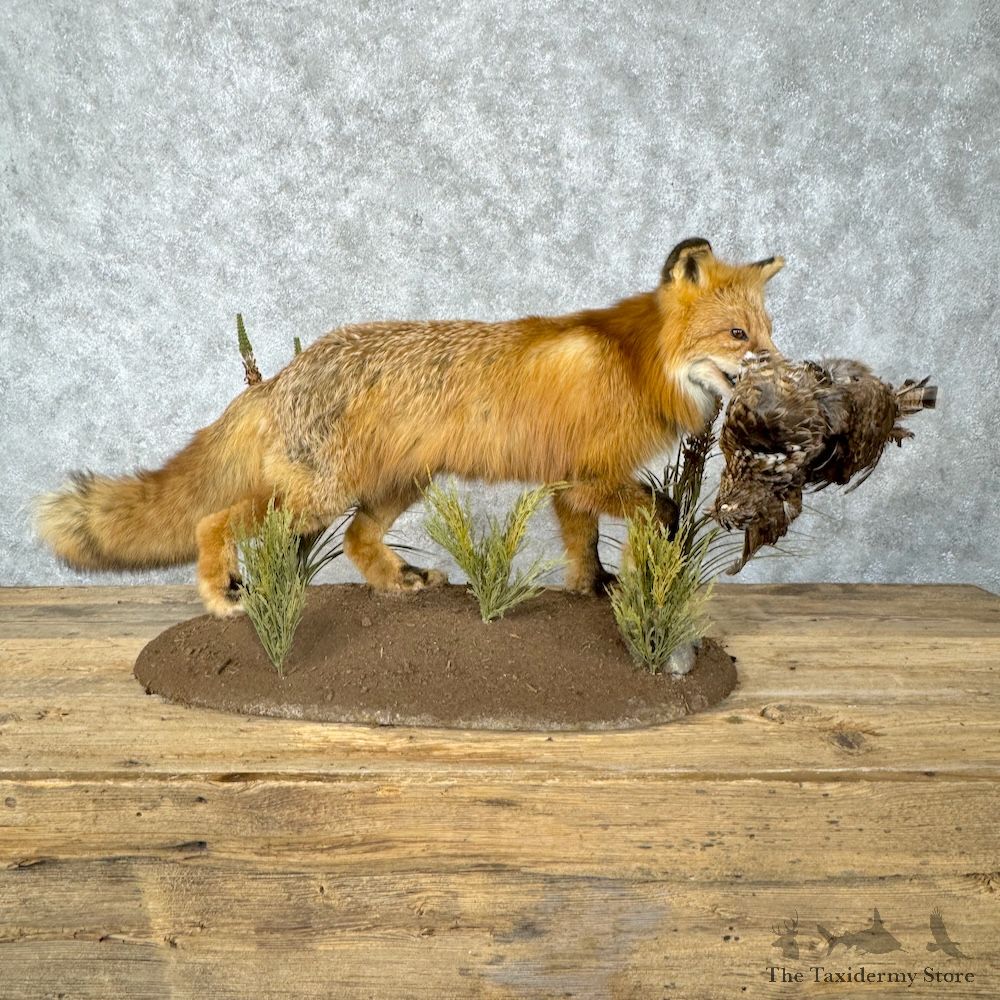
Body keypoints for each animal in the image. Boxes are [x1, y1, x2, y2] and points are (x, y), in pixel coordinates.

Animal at [35, 237, 784, 617]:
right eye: (738, 335)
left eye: (769, 331)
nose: (780, 368)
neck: (637, 363)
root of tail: (281, 375)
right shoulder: (590, 476)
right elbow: (657, 508)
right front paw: (629, 574)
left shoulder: (566, 484)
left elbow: (581, 546)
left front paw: (591, 589)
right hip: (317, 498)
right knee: (212, 521)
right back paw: (222, 594)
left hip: (396, 487)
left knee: (358, 542)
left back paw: (397, 584)